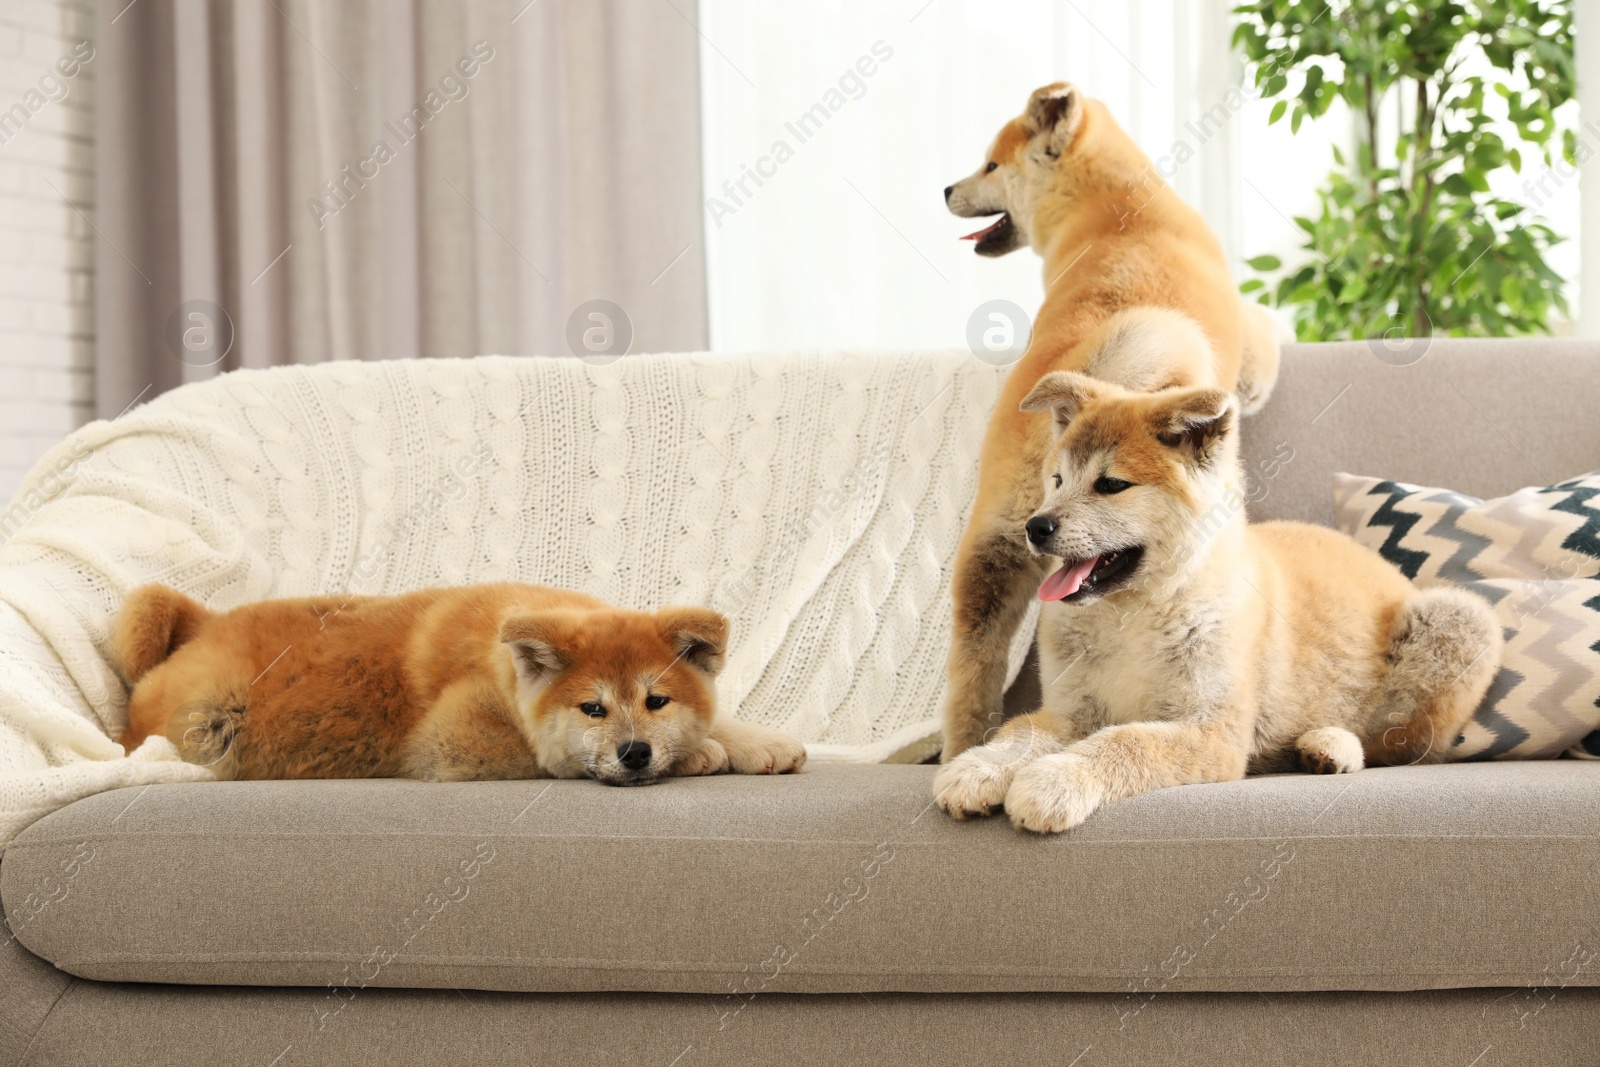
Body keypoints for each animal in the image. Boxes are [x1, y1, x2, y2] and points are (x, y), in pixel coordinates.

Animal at [114, 585, 806, 783]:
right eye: (593, 709)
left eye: (655, 700)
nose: (635, 753)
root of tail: (207, 621)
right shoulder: (454, 742)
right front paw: (701, 753)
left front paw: (757, 742)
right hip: (209, 723)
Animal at [934, 87, 1286, 764]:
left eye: (989, 166)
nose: (944, 190)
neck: (1114, 206)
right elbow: (1268, 330)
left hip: (995, 534)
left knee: (974, 658)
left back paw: (964, 746)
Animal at [934, 355, 1504, 838]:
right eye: (1056, 480)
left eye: (1111, 485)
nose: (1036, 526)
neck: (1137, 616)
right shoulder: (1073, 711)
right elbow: (1020, 732)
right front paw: (977, 768)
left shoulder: (1213, 731)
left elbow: (1125, 741)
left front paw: (1053, 783)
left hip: (1457, 618)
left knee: (1399, 748)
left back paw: (1331, 744)